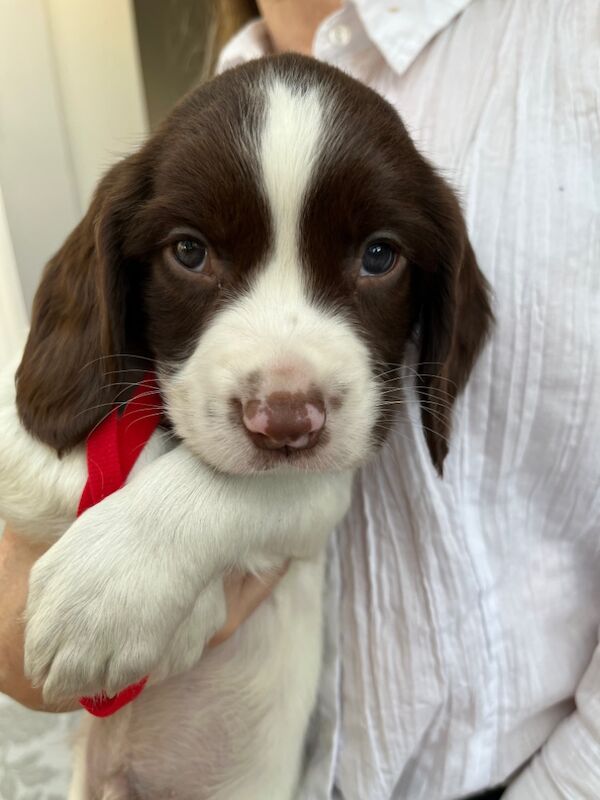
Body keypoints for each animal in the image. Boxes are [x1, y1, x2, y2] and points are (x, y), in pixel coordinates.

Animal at [0, 56, 490, 800]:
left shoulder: (324, 485)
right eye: (189, 251)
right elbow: (64, 464)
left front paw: (105, 593)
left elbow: (227, 487)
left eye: (380, 257)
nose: (285, 421)